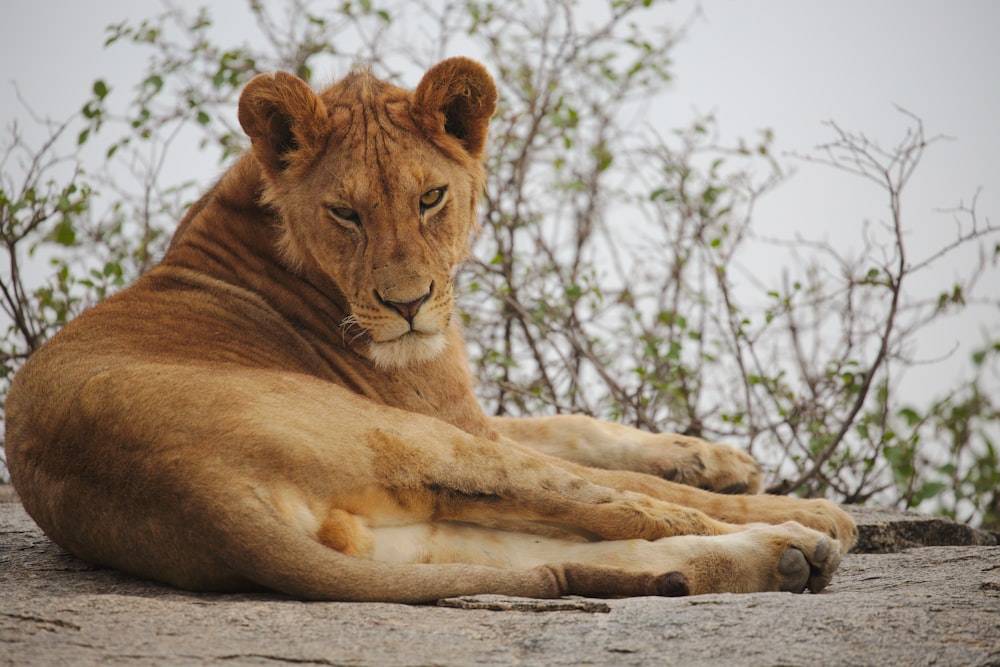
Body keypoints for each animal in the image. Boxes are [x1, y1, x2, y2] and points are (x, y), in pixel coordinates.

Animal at [3, 56, 856, 600]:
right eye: (344, 212)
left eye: (431, 197)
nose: (409, 304)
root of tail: (191, 492)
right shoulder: (452, 417)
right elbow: (599, 457)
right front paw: (751, 484)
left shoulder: (467, 411)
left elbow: (575, 421)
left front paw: (720, 458)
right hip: (413, 442)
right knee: (626, 508)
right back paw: (811, 527)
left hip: (403, 534)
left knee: (572, 544)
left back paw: (785, 559)